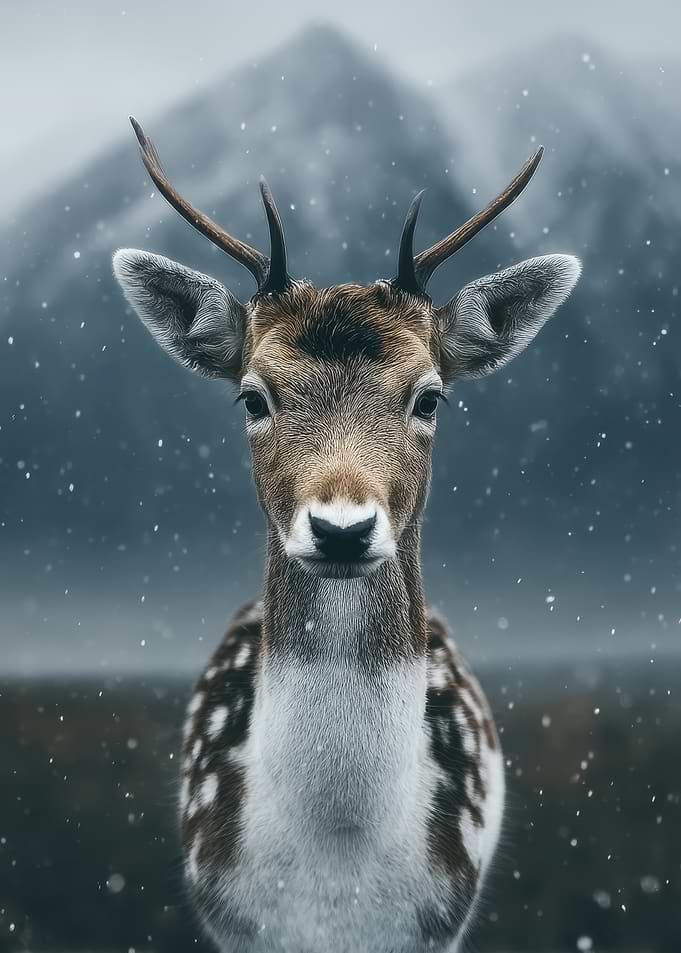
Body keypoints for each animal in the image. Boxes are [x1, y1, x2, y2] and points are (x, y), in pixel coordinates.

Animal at [112, 117, 580, 953]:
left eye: (429, 396)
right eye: (251, 397)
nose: (340, 528)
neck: (334, 894)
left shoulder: (441, 921)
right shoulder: (229, 921)